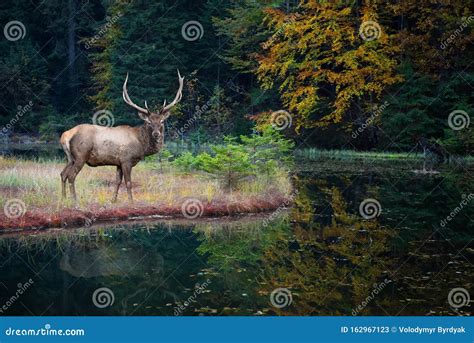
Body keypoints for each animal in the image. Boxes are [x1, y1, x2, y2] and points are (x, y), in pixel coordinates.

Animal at [59, 71, 185, 203]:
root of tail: (65, 136)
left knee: (63, 174)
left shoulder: (118, 163)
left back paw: (63, 198)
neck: (141, 145)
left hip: (70, 158)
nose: (156, 134)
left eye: (161, 121)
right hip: (81, 155)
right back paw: (74, 199)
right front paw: (131, 201)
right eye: (149, 122)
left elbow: (118, 181)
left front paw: (113, 200)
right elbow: (128, 182)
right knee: (71, 176)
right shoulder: (126, 160)